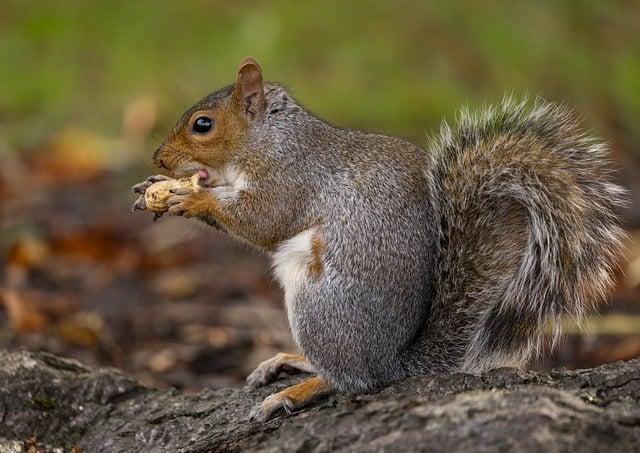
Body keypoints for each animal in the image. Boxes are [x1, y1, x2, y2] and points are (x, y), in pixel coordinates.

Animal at [132, 57, 628, 420]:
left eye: (203, 124)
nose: (159, 158)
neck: (268, 137)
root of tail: (394, 361)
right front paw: (155, 188)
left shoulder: (290, 177)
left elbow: (263, 220)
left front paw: (191, 198)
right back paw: (290, 362)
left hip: (318, 304)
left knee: (353, 380)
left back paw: (296, 391)